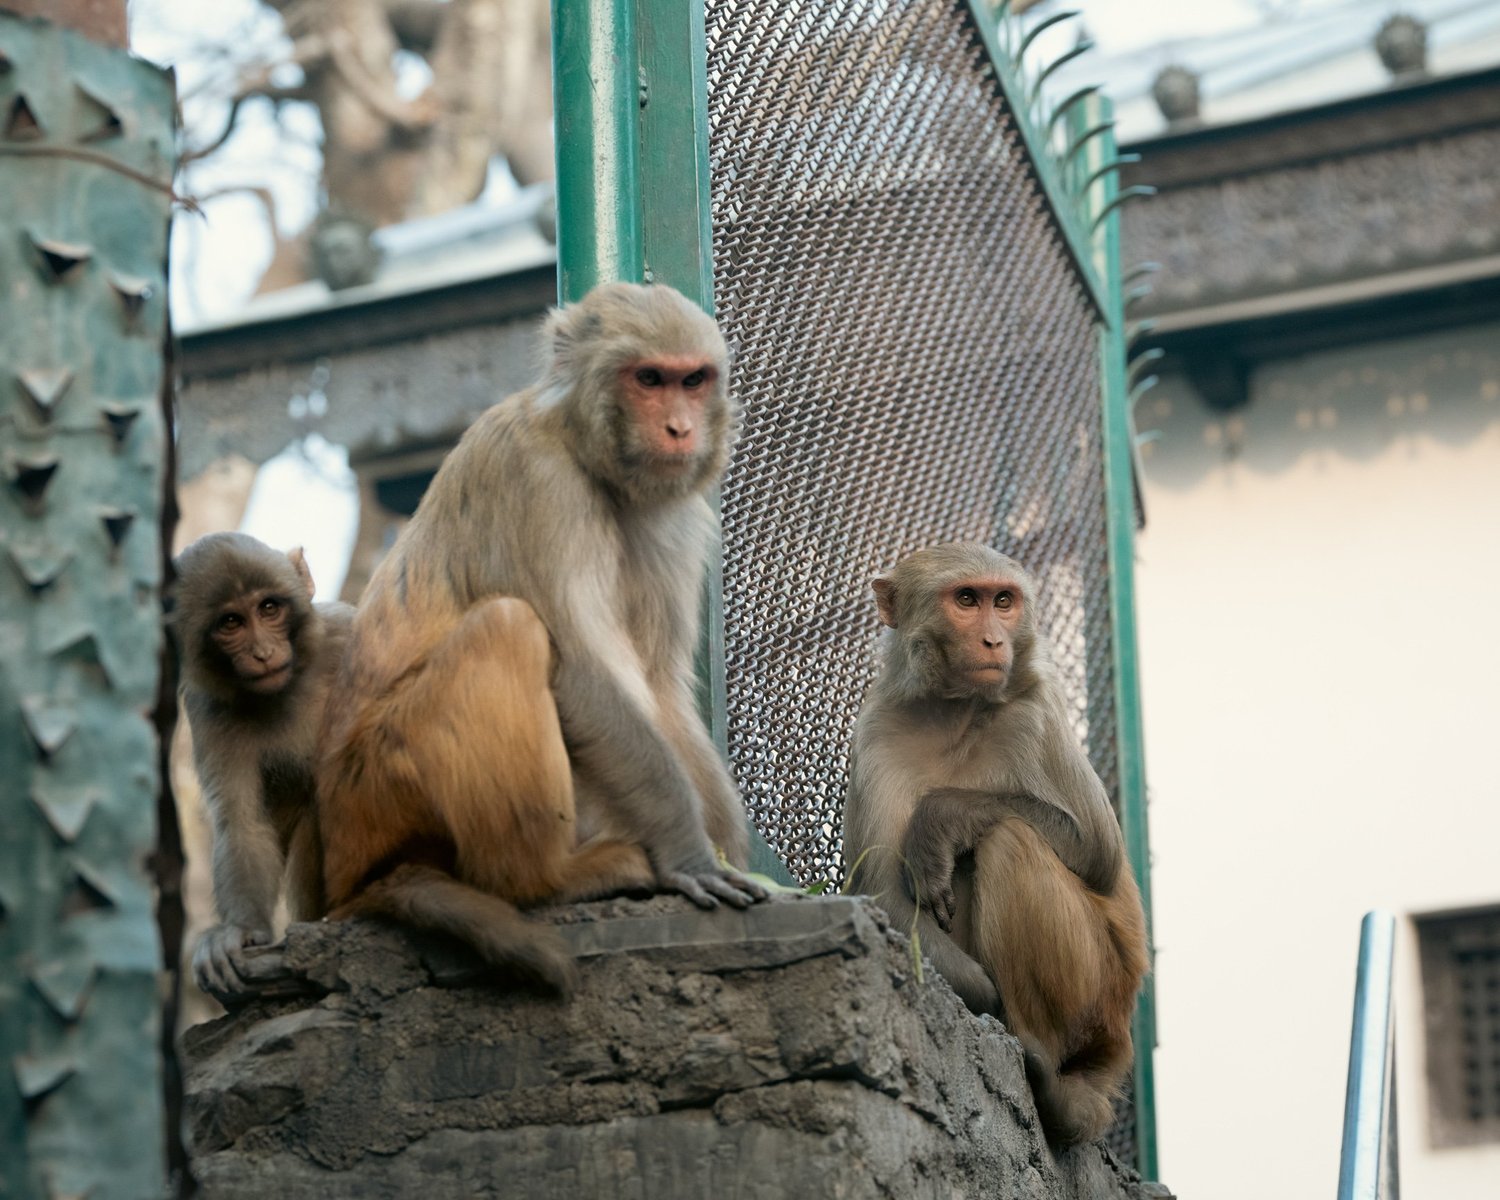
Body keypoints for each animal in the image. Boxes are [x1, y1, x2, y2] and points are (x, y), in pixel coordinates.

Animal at [172, 531, 354, 998]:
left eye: (269, 608)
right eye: (231, 623)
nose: (262, 652)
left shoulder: (348, 630)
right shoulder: (209, 711)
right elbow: (243, 824)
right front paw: (240, 931)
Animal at [317, 281, 767, 996]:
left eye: (692, 380)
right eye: (648, 379)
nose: (680, 429)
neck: (582, 448)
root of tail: (345, 879)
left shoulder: (671, 515)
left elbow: (660, 683)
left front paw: (729, 847)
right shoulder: (535, 479)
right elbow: (583, 669)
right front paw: (689, 850)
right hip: (380, 791)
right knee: (507, 628)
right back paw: (547, 881)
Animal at [842, 541, 1148, 1146]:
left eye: (1003, 601)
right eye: (967, 599)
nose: (993, 640)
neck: (955, 708)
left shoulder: (1036, 712)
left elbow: (1099, 853)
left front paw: (942, 819)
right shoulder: (877, 730)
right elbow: (886, 896)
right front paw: (977, 993)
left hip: (1099, 992)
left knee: (1010, 840)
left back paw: (1043, 1069)